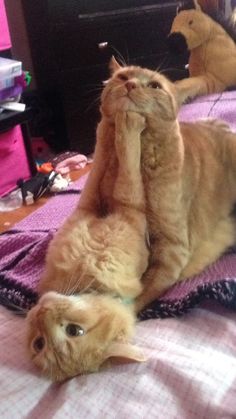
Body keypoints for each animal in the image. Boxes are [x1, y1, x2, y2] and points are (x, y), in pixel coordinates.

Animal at [27, 110, 148, 380]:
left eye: (74, 331)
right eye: (39, 344)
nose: (41, 312)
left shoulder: (120, 208)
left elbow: (114, 161)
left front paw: (120, 122)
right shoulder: (102, 207)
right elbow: (110, 160)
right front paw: (117, 123)